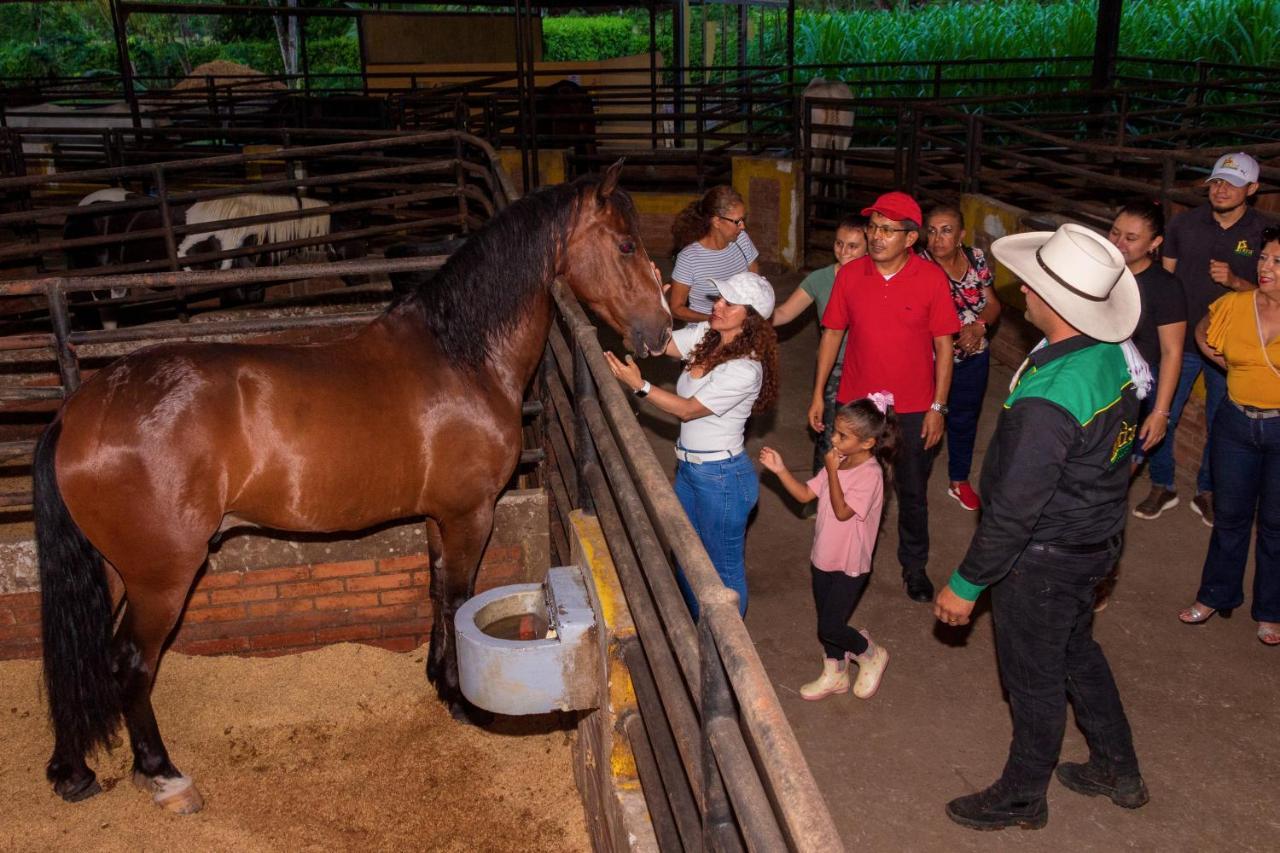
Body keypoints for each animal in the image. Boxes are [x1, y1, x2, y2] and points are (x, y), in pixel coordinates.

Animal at [32, 159, 670, 809]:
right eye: (626, 244)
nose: (661, 331)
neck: (463, 359)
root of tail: (79, 411)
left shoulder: (438, 518)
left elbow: (436, 591)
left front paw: (438, 680)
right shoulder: (471, 514)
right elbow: (459, 597)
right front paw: (462, 700)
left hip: (116, 570)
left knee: (82, 658)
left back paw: (72, 771)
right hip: (161, 577)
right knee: (131, 662)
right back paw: (163, 774)